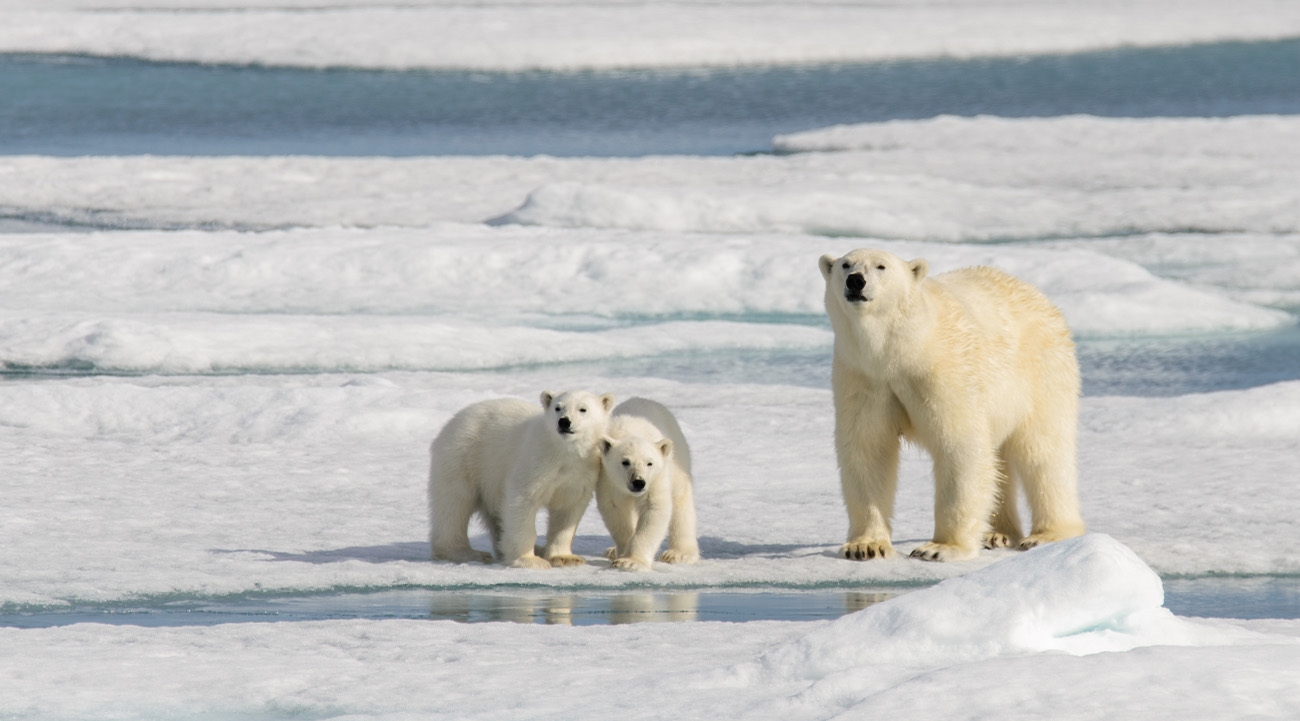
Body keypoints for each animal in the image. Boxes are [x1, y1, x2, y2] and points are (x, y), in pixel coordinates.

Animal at [427, 390, 615, 569]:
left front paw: (565, 558)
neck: (564, 452)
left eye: (583, 409)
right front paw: (530, 560)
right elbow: (522, 501)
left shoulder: (580, 472)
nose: (564, 422)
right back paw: (466, 553)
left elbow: (567, 510)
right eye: (558, 407)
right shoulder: (536, 461)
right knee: (454, 504)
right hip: (464, 456)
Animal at [596, 397, 700, 572]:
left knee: (680, 500)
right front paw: (622, 554)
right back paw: (611, 551)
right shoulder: (608, 478)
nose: (638, 482)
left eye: (649, 463)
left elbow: (654, 509)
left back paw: (679, 554)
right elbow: (615, 510)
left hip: (677, 457)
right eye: (625, 462)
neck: (630, 431)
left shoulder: (657, 478)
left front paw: (630, 561)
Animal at [819, 248, 1086, 562]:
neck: (901, 349)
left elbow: (959, 445)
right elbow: (867, 449)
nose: (856, 281)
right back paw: (997, 533)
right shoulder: (863, 378)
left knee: (1043, 452)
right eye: (845, 264)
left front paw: (939, 548)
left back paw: (1047, 535)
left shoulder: (943, 370)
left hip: (1041, 372)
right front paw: (865, 546)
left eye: (881, 266)